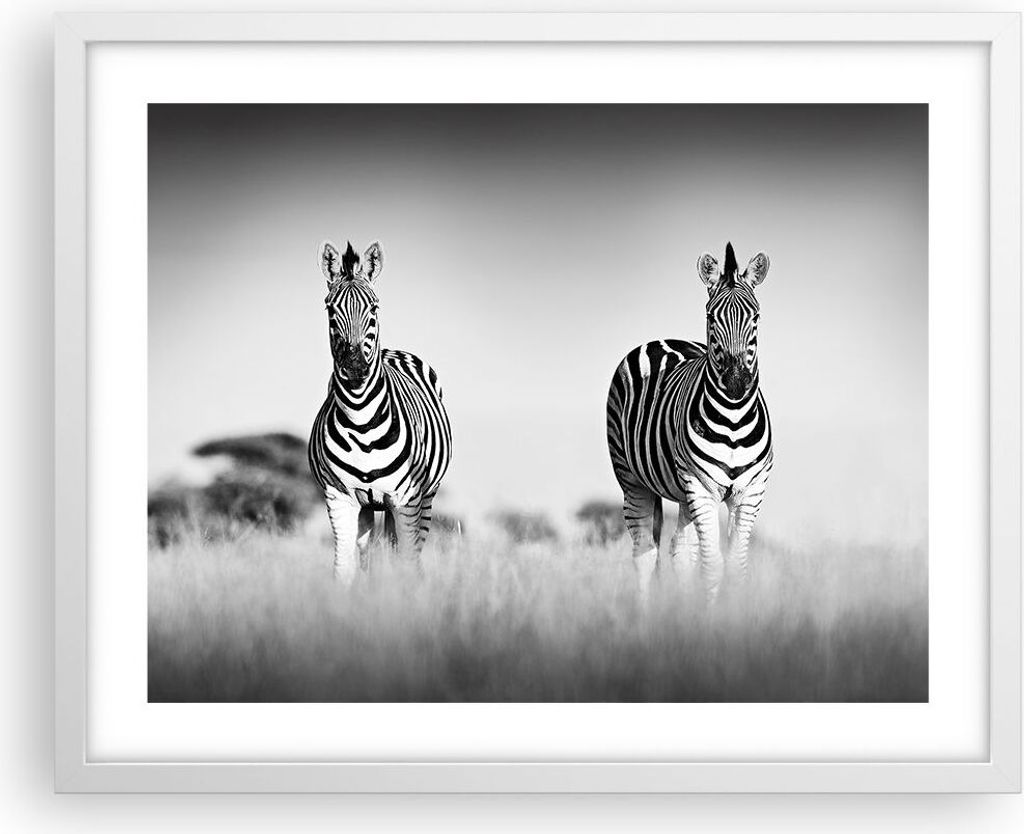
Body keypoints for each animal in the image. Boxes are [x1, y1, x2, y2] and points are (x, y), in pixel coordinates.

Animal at [309, 240, 452, 583]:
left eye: (374, 308)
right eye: (330, 309)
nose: (355, 368)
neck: (361, 420)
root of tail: (392, 350)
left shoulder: (407, 500)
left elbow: (407, 564)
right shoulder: (340, 499)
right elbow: (344, 569)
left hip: (425, 499)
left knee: (409, 554)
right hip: (369, 507)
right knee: (369, 553)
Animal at [605, 242, 772, 602]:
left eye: (756, 317)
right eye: (711, 316)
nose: (736, 383)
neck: (733, 418)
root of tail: (661, 339)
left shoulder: (750, 491)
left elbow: (735, 566)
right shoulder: (701, 486)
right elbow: (712, 565)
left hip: (683, 493)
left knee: (680, 552)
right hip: (632, 479)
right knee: (645, 552)